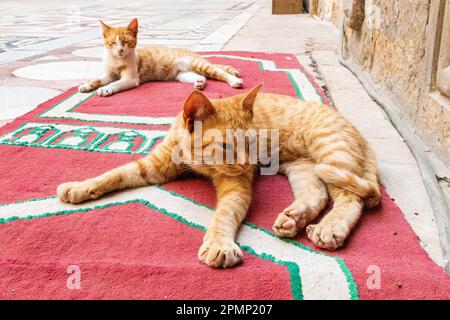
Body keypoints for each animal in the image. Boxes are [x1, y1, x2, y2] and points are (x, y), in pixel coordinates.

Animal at [56, 84, 380, 268]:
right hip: (304, 168)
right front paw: (80, 187)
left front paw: (219, 245)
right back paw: (294, 218)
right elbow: (115, 173)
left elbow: (224, 215)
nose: (248, 163)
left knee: (351, 197)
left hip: (331, 155)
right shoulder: (153, 166)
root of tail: (363, 138)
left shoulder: (237, 187)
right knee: (318, 194)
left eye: (251, 142)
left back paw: (329, 228)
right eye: (226, 146)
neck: (198, 161)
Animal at [79, 18, 244, 96]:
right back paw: (199, 83)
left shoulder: (131, 79)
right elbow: (99, 79)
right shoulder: (108, 74)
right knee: (200, 76)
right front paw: (87, 85)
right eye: (112, 43)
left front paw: (106, 89)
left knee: (220, 72)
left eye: (126, 42)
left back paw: (234, 81)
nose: (120, 50)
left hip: (200, 65)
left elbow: (116, 83)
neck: (117, 60)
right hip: (182, 75)